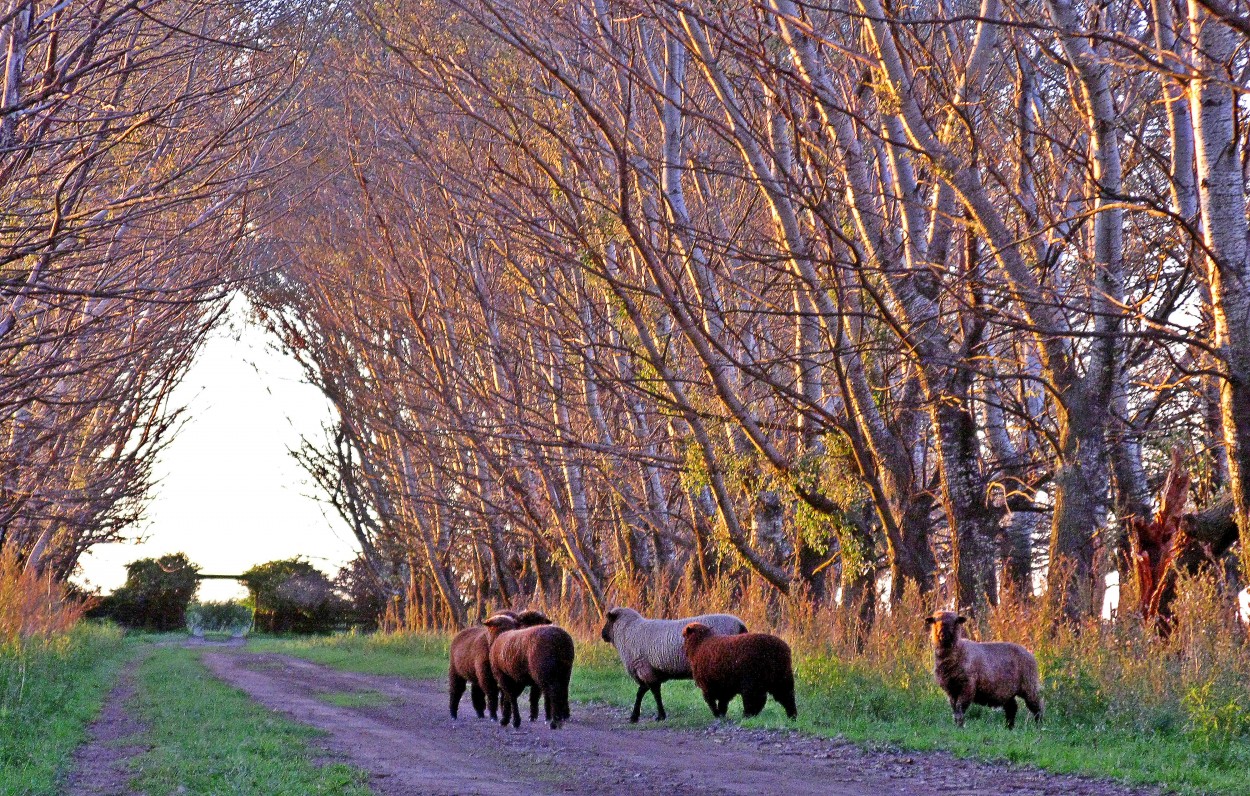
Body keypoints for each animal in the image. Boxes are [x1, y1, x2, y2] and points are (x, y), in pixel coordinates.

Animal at [600, 607, 745, 719]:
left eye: (608, 620)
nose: (602, 635)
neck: (627, 632)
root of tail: (740, 625)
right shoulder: (652, 671)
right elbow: (645, 691)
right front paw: (639, 715)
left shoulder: (644, 668)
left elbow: (650, 693)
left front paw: (656, 716)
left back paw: (720, 712)